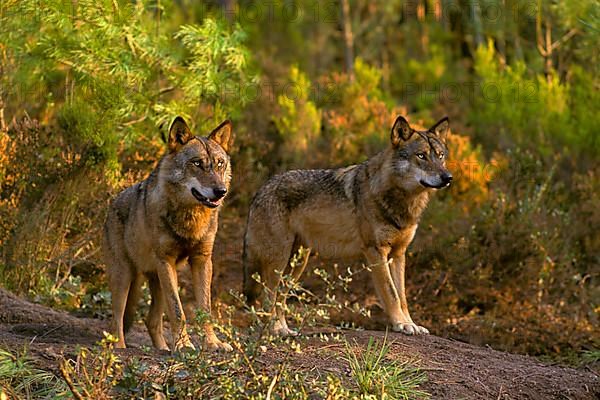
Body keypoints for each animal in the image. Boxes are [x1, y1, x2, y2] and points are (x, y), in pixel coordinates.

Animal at [102, 117, 233, 352]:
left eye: (219, 164)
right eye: (197, 163)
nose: (221, 191)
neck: (191, 218)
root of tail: (112, 203)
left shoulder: (202, 261)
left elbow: (205, 310)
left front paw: (213, 343)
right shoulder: (166, 260)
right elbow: (178, 311)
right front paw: (183, 345)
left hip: (160, 279)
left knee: (151, 320)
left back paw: (162, 348)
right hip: (124, 276)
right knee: (116, 317)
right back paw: (119, 347)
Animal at [241, 116, 452, 338]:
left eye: (440, 156)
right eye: (421, 156)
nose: (448, 177)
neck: (402, 201)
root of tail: (260, 190)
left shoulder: (398, 254)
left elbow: (402, 296)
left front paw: (410, 323)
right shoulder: (376, 252)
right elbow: (391, 293)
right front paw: (401, 324)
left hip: (297, 264)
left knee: (279, 298)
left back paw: (284, 330)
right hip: (280, 261)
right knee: (268, 296)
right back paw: (273, 329)